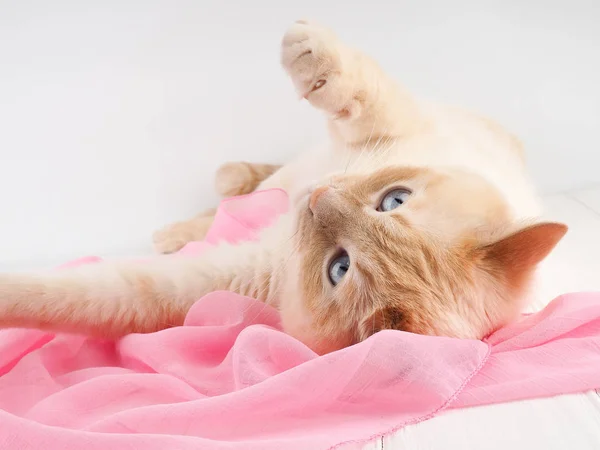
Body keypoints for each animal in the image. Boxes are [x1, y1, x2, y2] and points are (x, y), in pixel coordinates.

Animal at [0, 20, 568, 356]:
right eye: (394, 200)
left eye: (339, 268)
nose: (318, 199)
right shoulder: (395, 126)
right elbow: (357, 91)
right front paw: (309, 49)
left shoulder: (219, 281)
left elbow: (92, 292)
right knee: (242, 185)